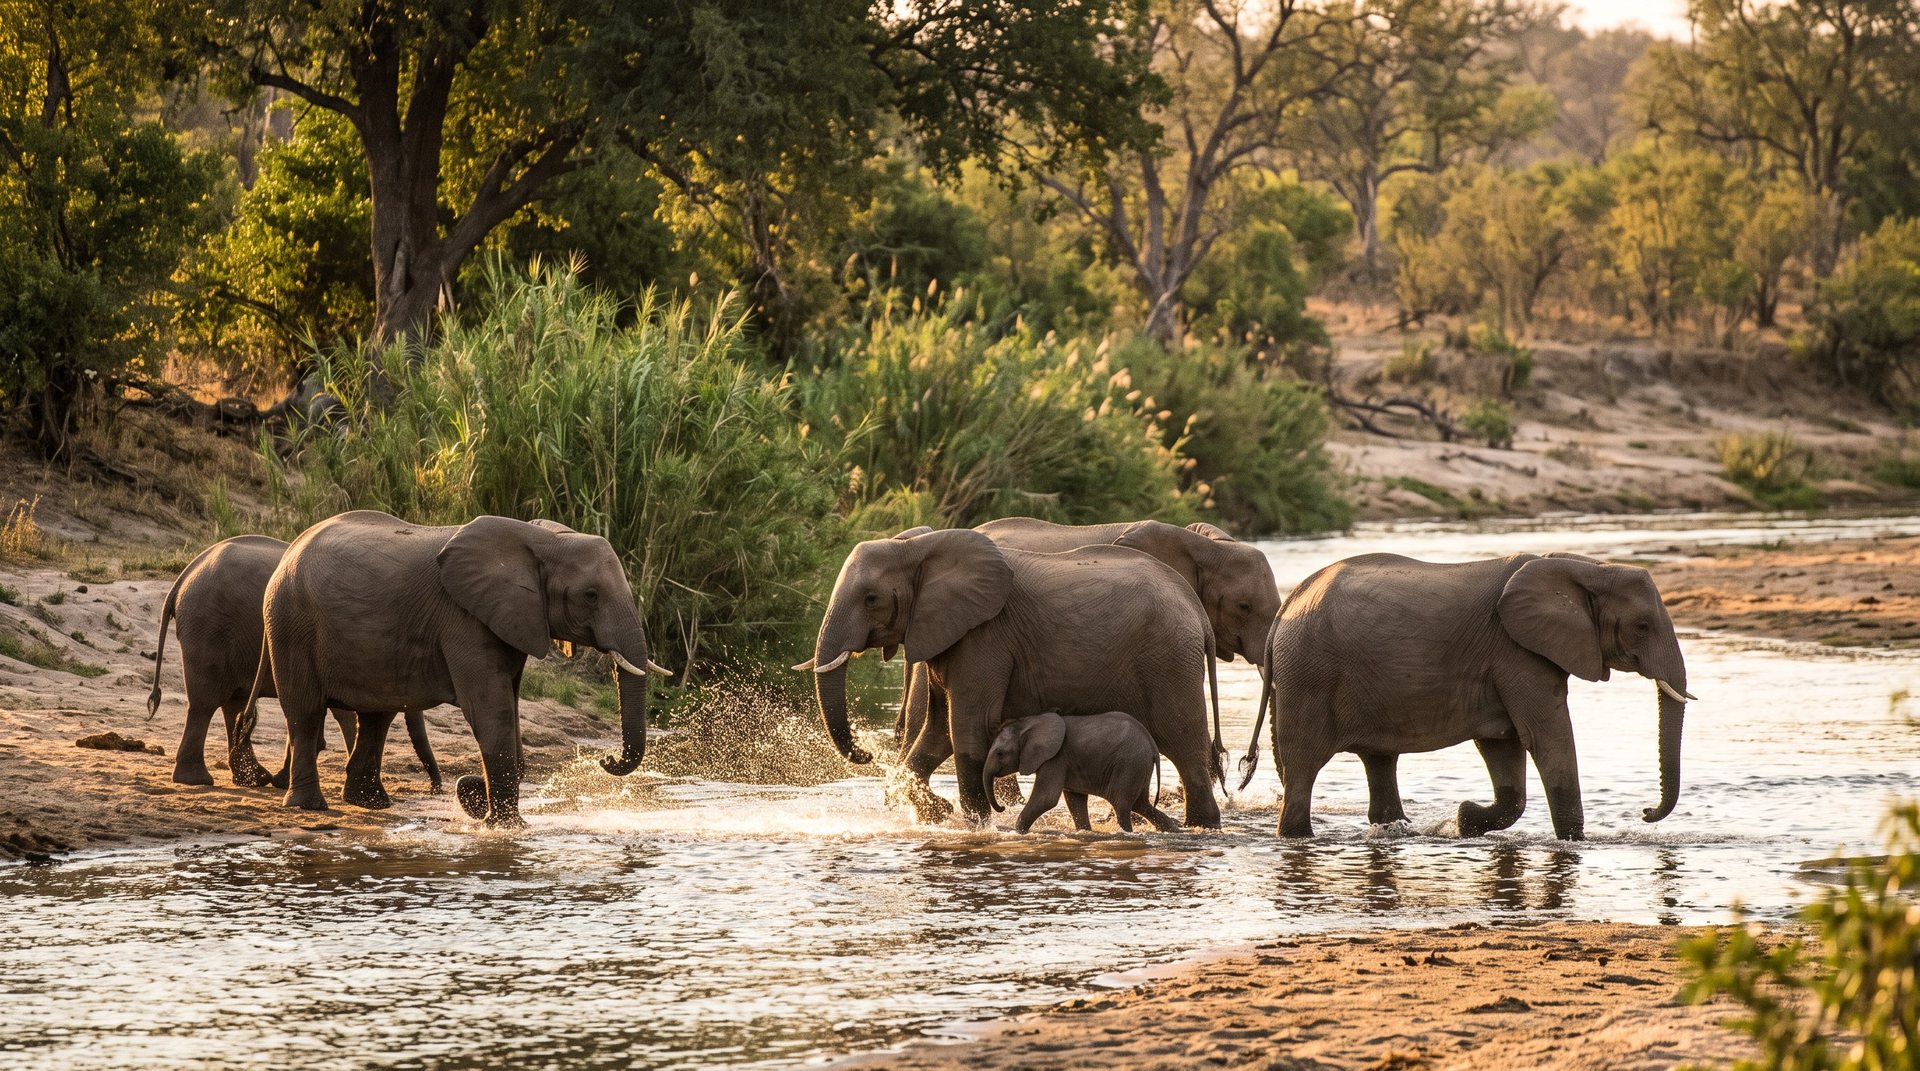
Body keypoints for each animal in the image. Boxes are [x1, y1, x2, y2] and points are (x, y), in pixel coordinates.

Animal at [147, 534, 441, 795]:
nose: (434, 789)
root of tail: (186, 573)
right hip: (207, 629)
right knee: (206, 702)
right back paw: (198, 780)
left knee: (234, 702)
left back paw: (253, 779)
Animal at [233, 511, 669, 825]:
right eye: (591, 596)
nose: (605, 761)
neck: (539, 538)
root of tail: (289, 551)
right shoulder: (464, 619)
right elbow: (491, 710)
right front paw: (504, 827)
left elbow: (509, 705)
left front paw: (480, 805)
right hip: (290, 623)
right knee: (306, 712)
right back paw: (309, 807)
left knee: (376, 716)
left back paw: (371, 804)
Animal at [983, 711, 1179, 833]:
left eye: (1000, 753)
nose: (1002, 807)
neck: (1029, 722)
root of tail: (1152, 746)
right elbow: (1074, 800)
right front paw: (1085, 831)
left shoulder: (1056, 759)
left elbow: (1046, 799)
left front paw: (1017, 832)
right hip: (1139, 767)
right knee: (1142, 805)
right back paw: (1175, 831)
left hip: (1129, 765)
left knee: (1122, 807)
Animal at [1259, 551, 1693, 841]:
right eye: (1642, 626)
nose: (1644, 812)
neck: (1586, 567)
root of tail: (1284, 609)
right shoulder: (1516, 652)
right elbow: (1546, 737)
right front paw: (1572, 843)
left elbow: (1503, 744)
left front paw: (1464, 820)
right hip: (1309, 676)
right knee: (1304, 766)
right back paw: (1298, 836)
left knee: (1379, 760)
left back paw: (1398, 829)